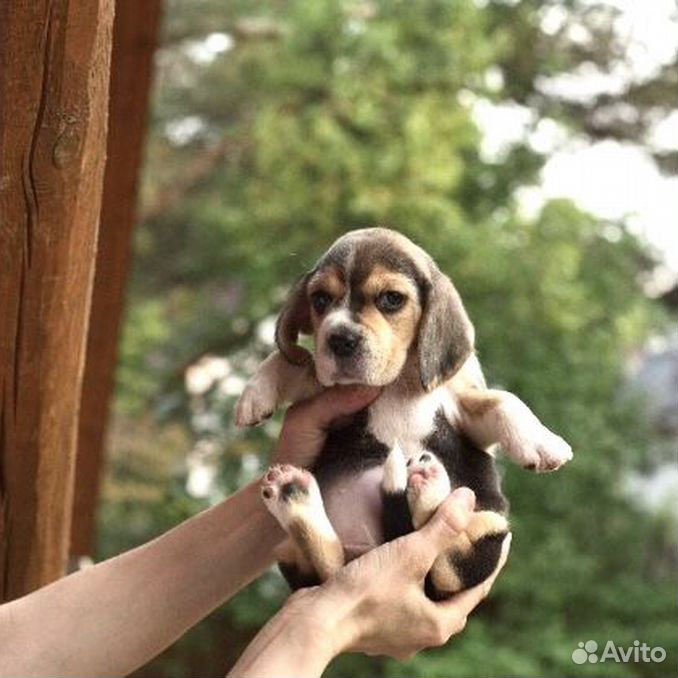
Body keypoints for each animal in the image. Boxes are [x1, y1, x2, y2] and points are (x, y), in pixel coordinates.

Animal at [235, 228, 572, 600]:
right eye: (320, 299)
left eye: (391, 299)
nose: (339, 338)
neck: (398, 381)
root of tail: (374, 545)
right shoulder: (329, 389)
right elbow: (295, 362)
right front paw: (254, 394)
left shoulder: (465, 412)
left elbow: (503, 400)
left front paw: (543, 443)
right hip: (291, 552)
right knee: (329, 563)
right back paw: (295, 496)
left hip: (489, 525)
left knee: (442, 565)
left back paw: (424, 486)